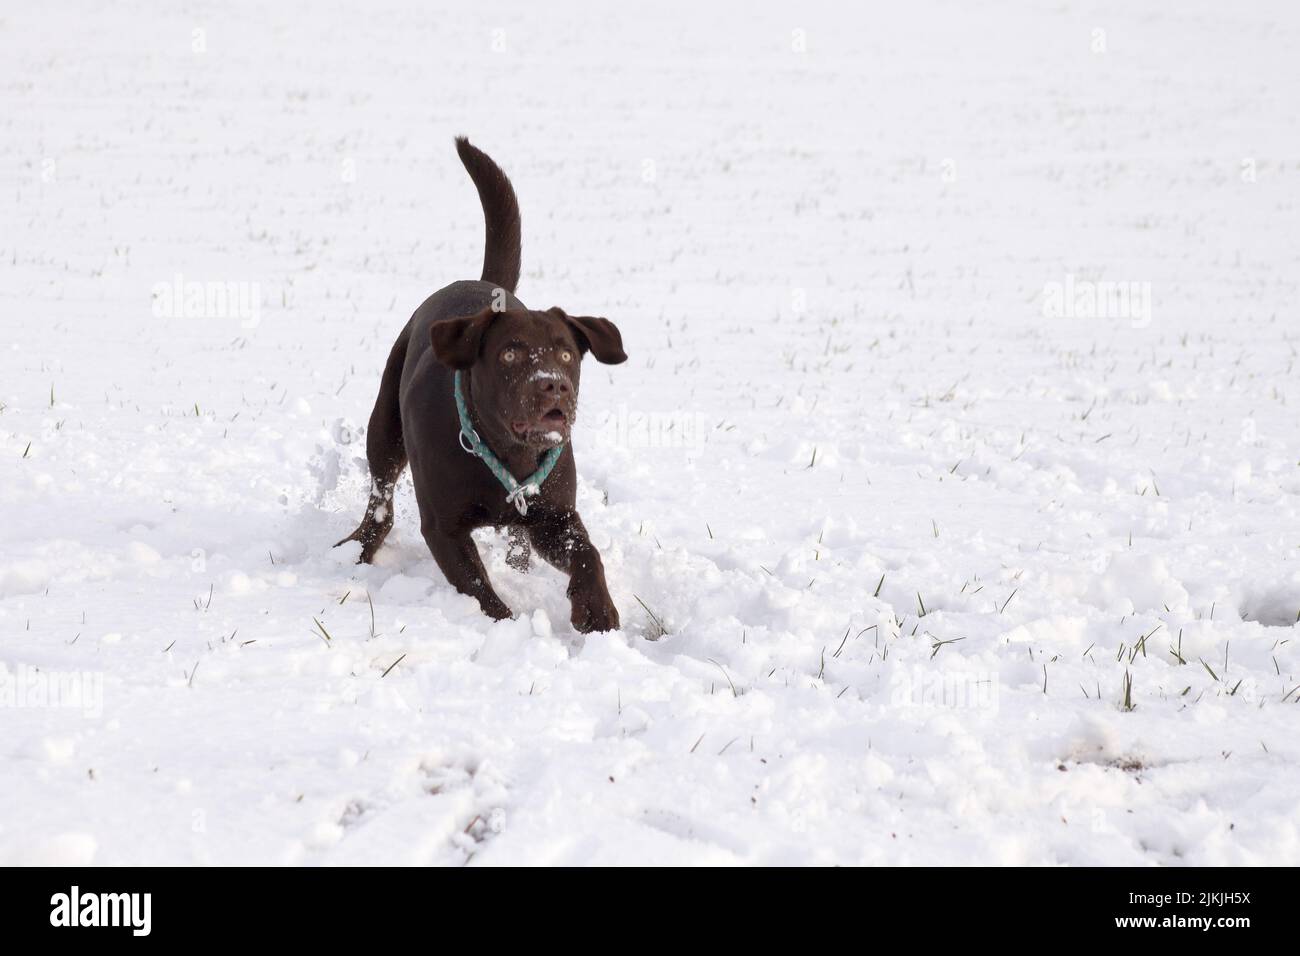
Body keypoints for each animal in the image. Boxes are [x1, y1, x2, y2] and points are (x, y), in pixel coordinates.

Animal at [338, 138, 626, 632]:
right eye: (510, 353)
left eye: (566, 354)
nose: (553, 386)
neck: (506, 452)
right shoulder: (443, 527)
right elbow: (478, 590)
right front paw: (508, 625)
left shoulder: (553, 517)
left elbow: (587, 553)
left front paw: (596, 610)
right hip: (385, 425)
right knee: (381, 499)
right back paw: (358, 547)